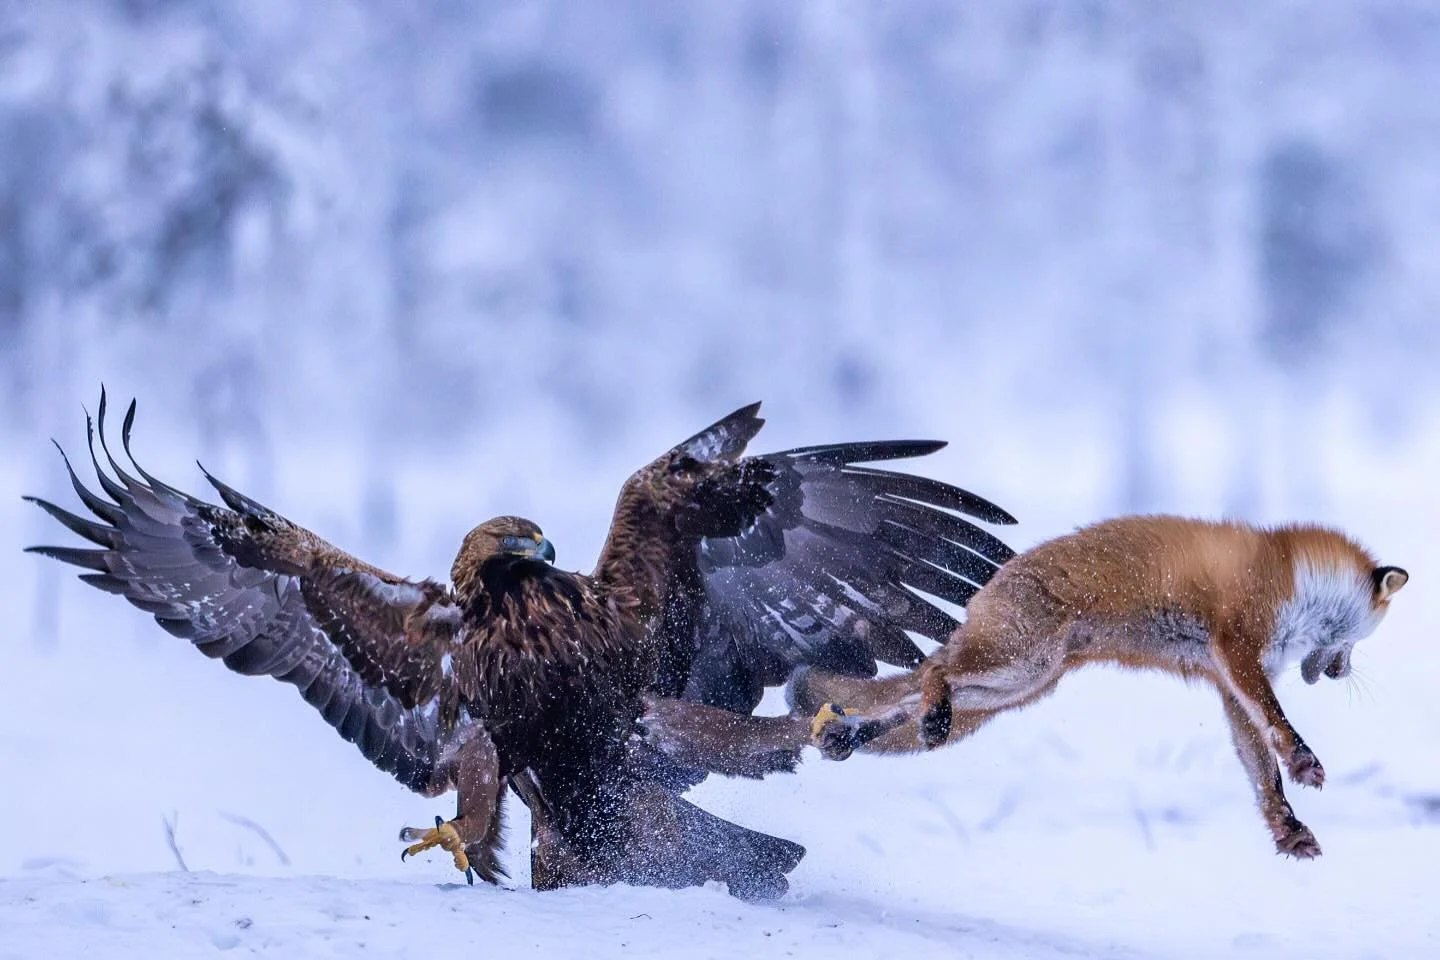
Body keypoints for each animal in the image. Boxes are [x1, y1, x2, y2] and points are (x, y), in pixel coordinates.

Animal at [792, 515, 1408, 858]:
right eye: (1360, 642)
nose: (1340, 672)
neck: (1295, 578)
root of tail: (989, 585)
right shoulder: (1237, 646)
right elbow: (1279, 724)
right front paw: (1305, 762)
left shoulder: (1230, 683)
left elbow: (1262, 773)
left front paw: (1289, 831)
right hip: (1015, 663)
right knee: (934, 674)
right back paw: (926, 714)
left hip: (1020, 683)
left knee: (905, 699)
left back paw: (851, 733)